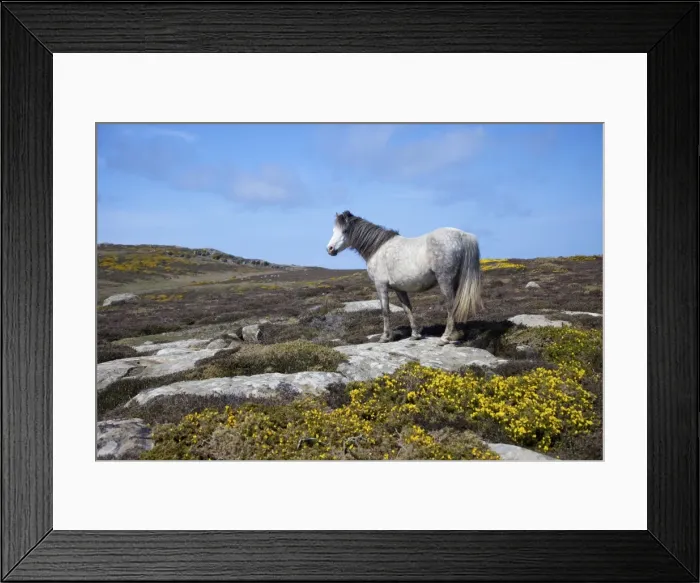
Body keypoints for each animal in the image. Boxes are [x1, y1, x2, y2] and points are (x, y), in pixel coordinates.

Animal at [326, 210, 483, 345]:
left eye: (345, 231)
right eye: (333, 231)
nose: (330, 249)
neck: (378, 249)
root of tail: (463, 235)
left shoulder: (380, 285)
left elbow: (385, 310)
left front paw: (385, 337)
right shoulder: (399, 288)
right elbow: (407, 308)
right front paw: (415, 334)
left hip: (445, 280)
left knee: (450, 305)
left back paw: (445, 337)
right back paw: (454, 335)